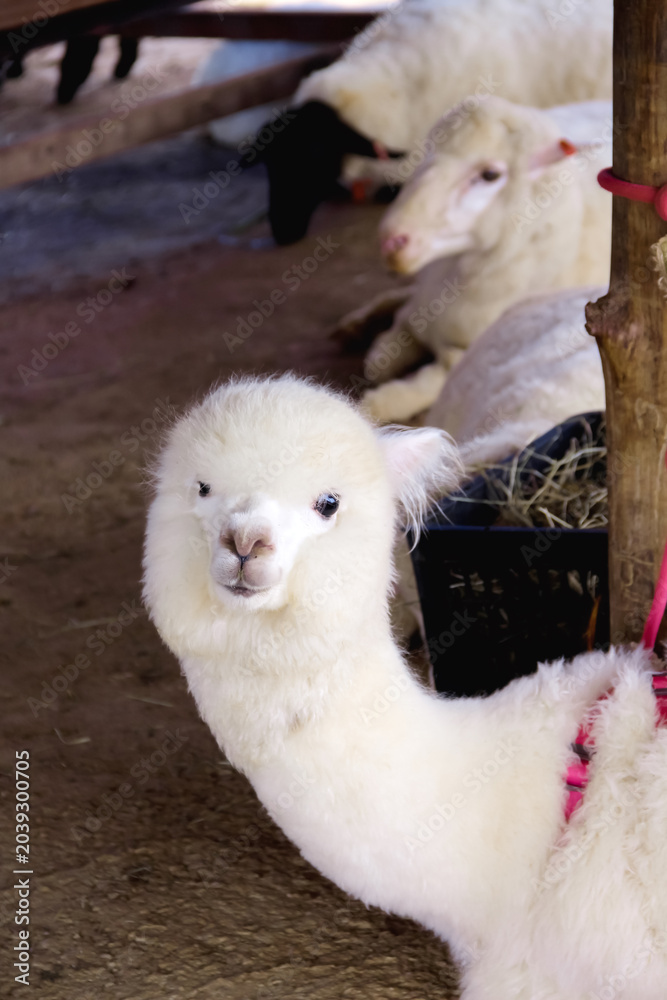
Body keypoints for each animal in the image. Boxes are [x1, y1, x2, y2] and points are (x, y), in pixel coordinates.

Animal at [357, 97, 612, 423]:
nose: (391, 240)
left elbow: (424, 383)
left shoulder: (462, 354)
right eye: (427, 151)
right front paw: (376, 349)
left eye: (490, 175)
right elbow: (388, 347)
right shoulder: (422, 310)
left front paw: (378, 403)